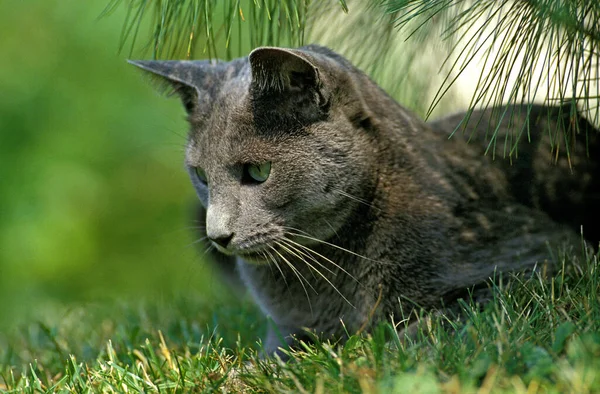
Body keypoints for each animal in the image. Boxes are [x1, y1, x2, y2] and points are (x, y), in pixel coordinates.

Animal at [131, 44, 600, 356]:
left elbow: (445, 315)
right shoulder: (284, 330)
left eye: (258, 172)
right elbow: (276, 354)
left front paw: (378, 345)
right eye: (200, 175)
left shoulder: (545, 261)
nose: (218, 234)